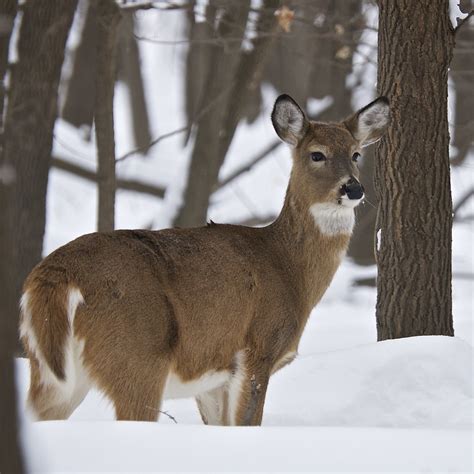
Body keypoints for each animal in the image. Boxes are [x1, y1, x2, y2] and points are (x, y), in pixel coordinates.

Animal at [19, 93, 388, 426]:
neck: (288, 268)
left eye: (356, 154)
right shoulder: (258, 347)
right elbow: (246, 424)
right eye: (317, 154)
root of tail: (55, 274)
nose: (354, 189)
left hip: (54, 373)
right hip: (135, 355)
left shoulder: (213, 376)